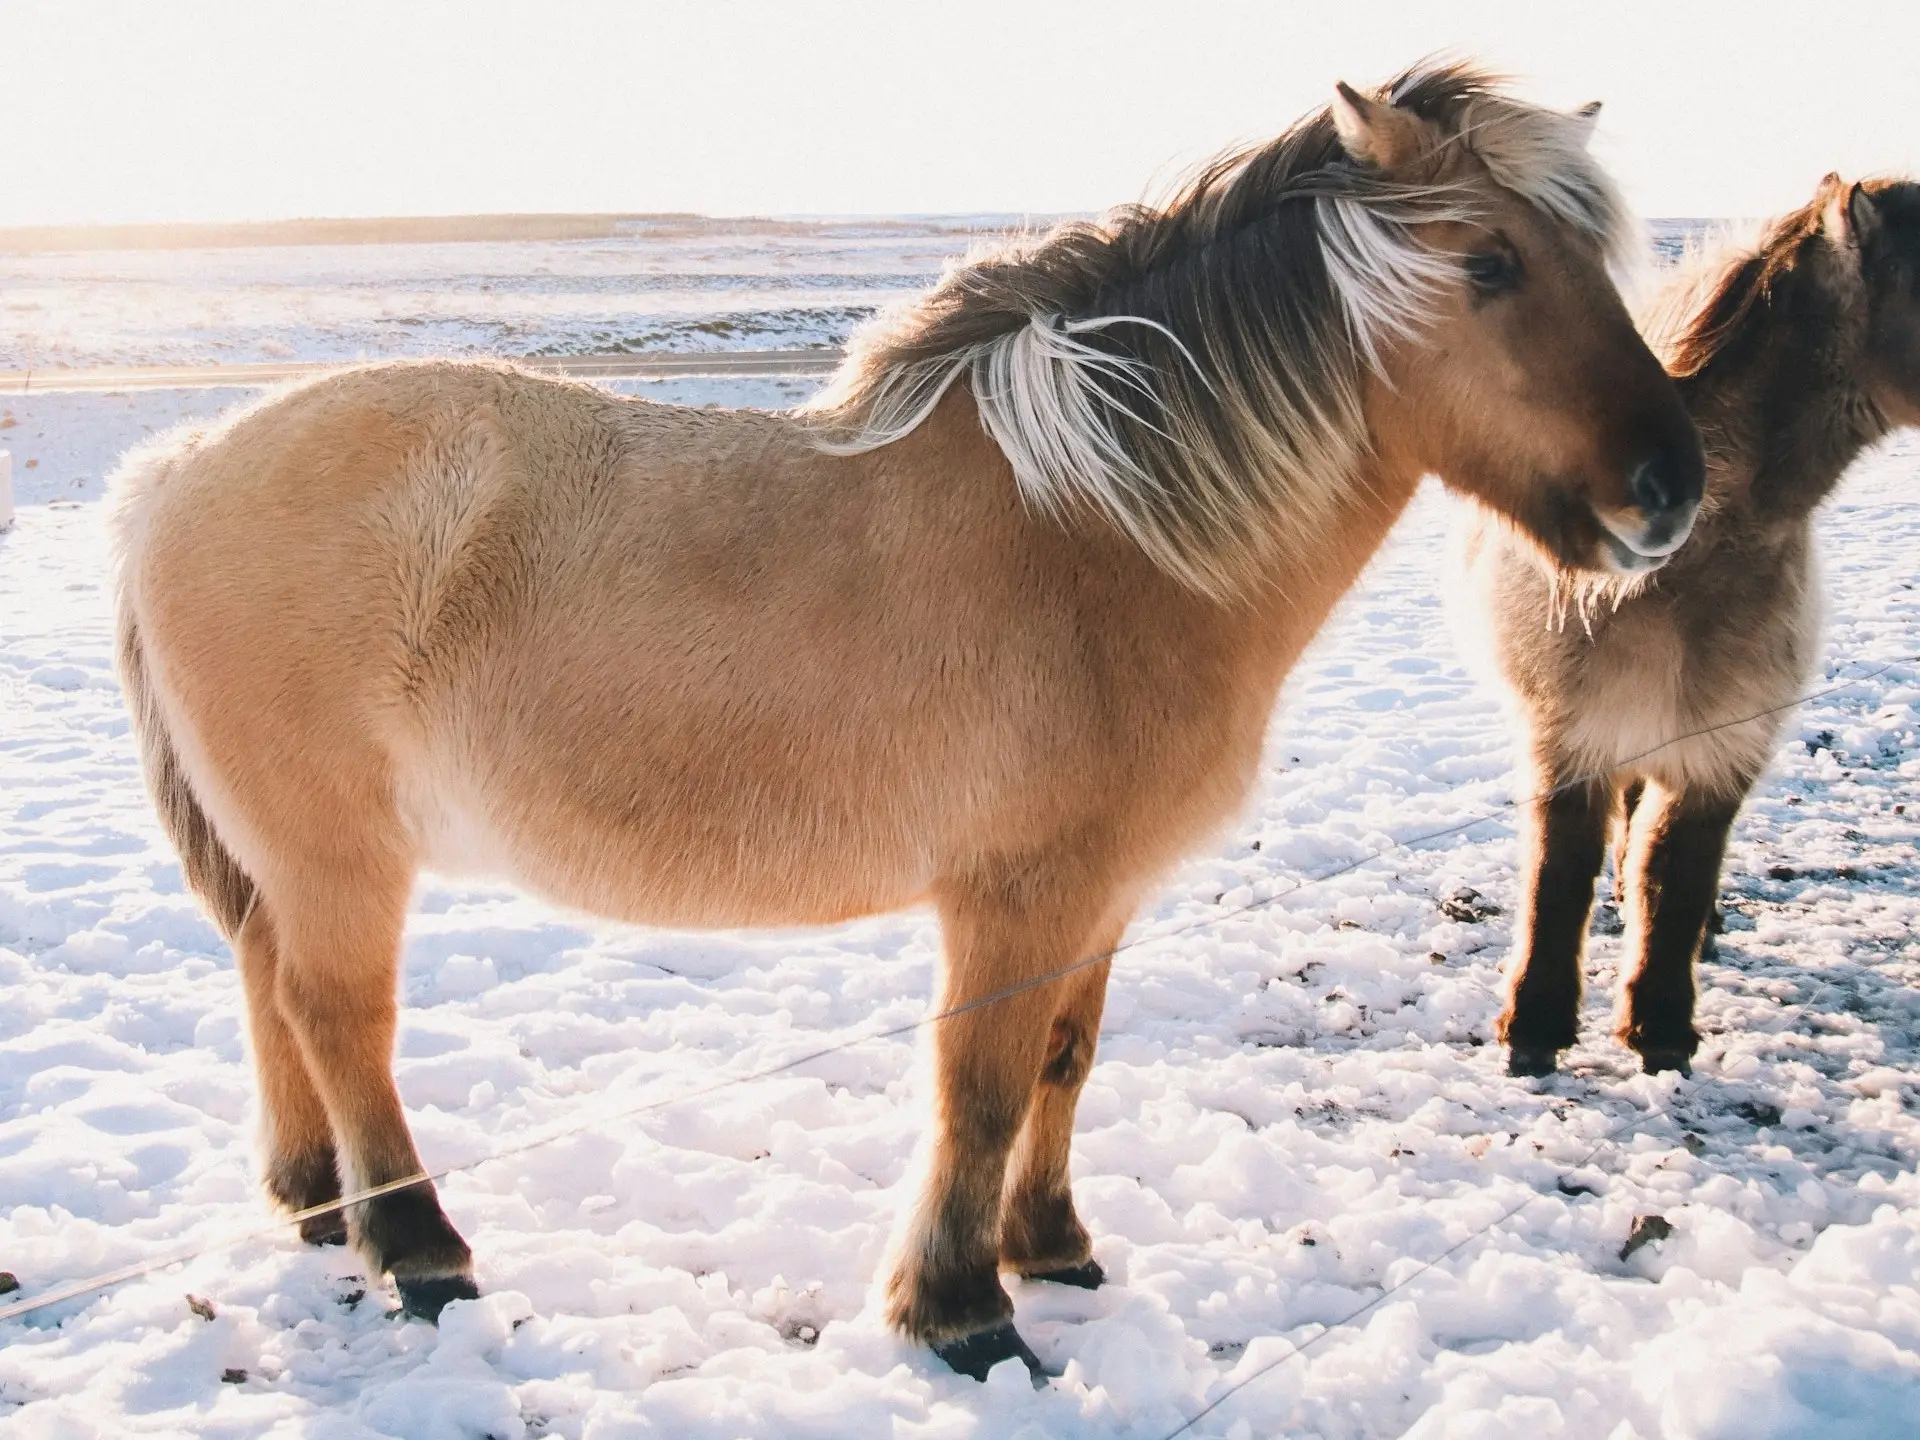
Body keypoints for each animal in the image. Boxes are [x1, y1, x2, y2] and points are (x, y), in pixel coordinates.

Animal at [112, 61, 1697, 1382]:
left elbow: (1064, 1062)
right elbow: (980, 1091)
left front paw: (1053, 1250)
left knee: (271, 991)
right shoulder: (1012, 899)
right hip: (343, 860)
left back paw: (318, 1208)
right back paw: (419, 1251)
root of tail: (177, 466)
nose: (1672, 486)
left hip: (294, 864)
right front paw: (963, 1314)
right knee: (339, 1021)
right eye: (1490, 263)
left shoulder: (1098, 896)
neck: (1103, 537)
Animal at [1451, 177, 1920, 1082]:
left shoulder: (1720, 744)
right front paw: (1535, 1026)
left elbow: (1676, 873)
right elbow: (1559, 873)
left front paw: (1660, 1025)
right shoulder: (1572, 734)